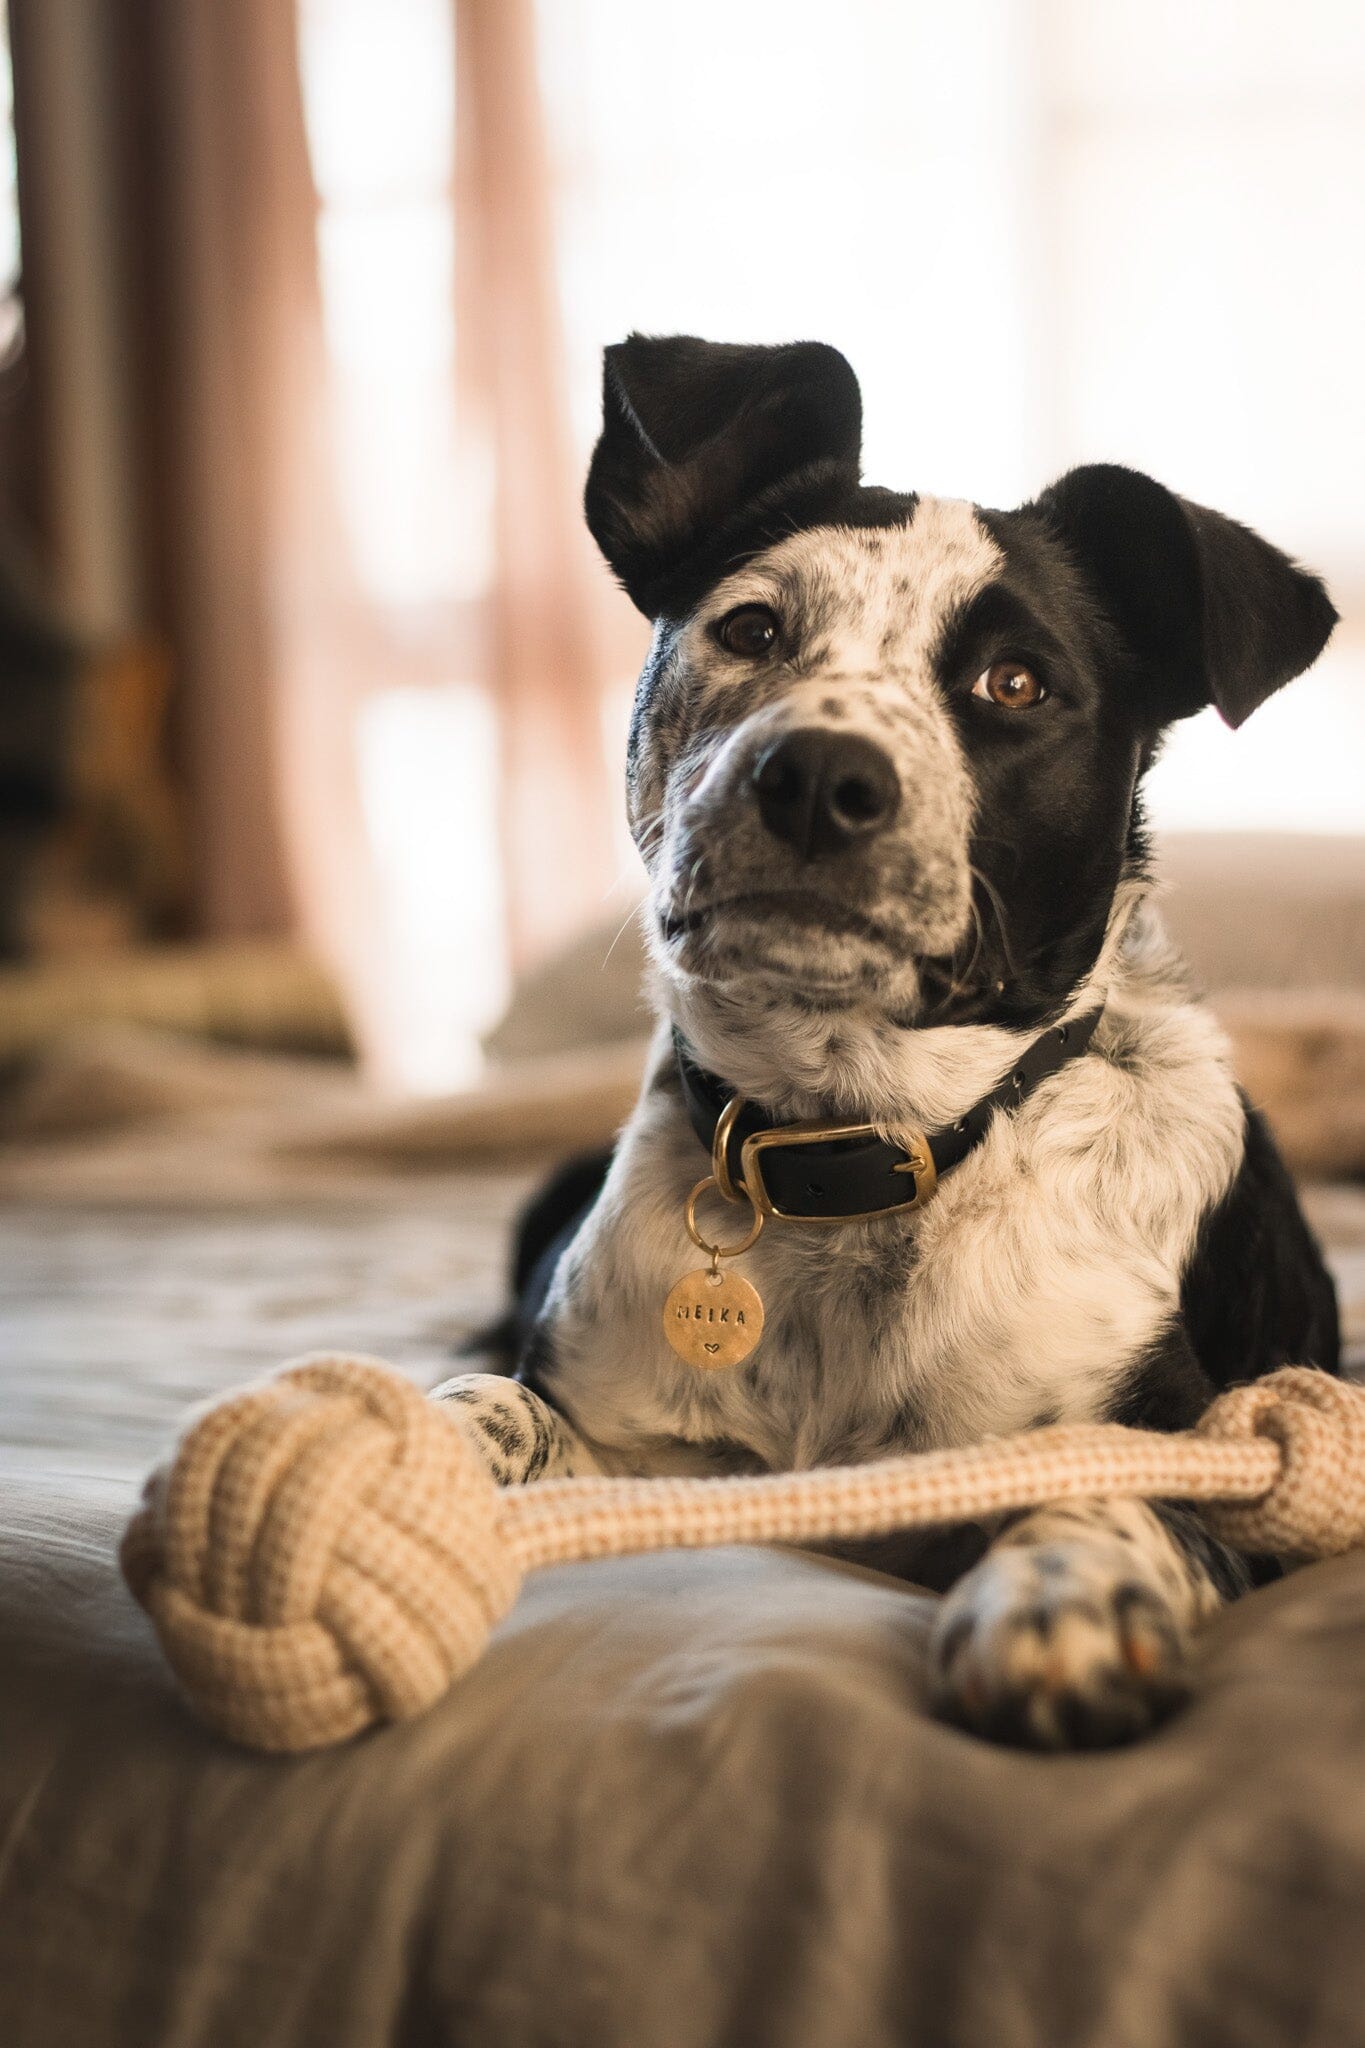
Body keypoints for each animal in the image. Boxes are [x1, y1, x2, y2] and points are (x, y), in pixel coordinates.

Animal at [435, 335, 1334, 1744]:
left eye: (1015, 682)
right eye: (751, 628)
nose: (815, 775)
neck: (856, 1143)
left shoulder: (1204, 1451)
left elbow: (1109, 1479)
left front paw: (1061, 1593)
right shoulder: (641, 1451)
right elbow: (494, 1411)